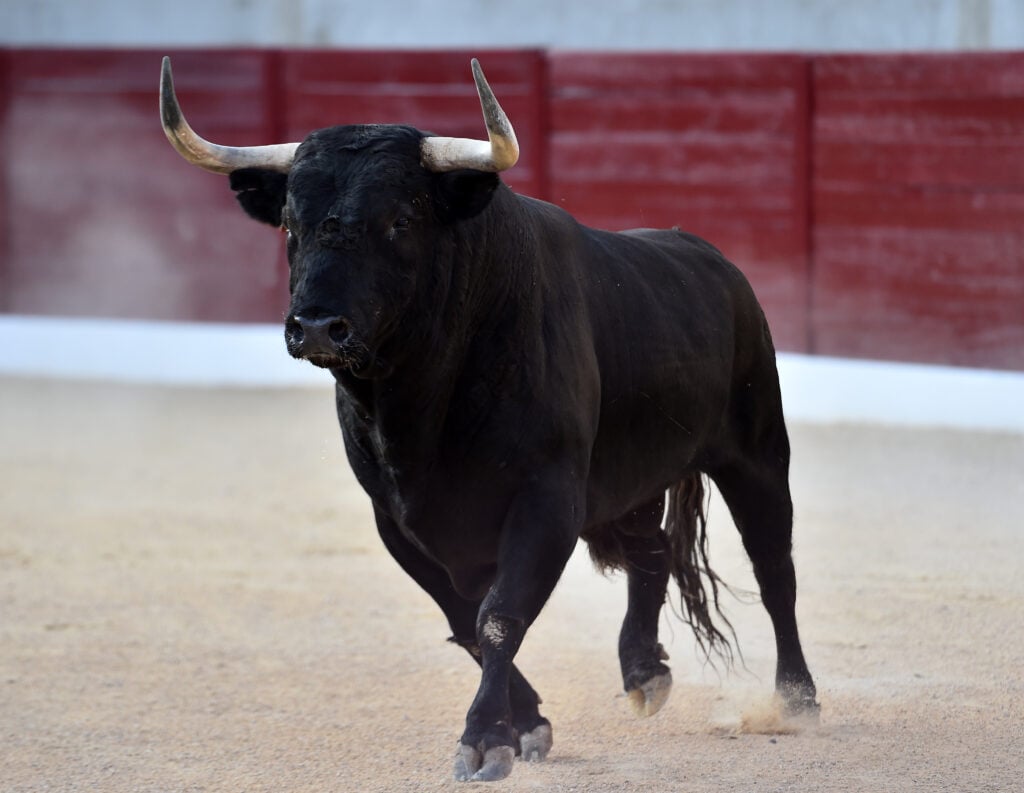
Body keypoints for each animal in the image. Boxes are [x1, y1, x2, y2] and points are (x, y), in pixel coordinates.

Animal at [157, 55, 815, 782]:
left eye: (400, 221)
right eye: (289, 224)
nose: (317, 325)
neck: (420, 406)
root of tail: (715, 263)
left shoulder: (546, 499)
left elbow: (499, 615)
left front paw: (483, 738)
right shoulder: (399, 520)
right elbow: (464, 617)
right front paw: (525, 724)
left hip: (756, 452)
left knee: (773, 566)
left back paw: (796, 698)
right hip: (634, 479)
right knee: (653, 553)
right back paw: (644, 672)